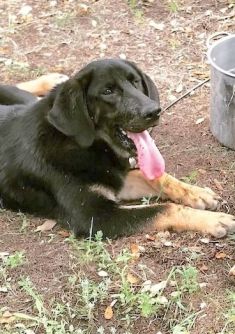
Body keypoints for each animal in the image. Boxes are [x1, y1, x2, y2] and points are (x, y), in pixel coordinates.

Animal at [0, 59, 235, 237]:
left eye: (136, 81)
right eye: (107, 91)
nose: (154, 111)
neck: (85, 146)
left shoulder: (116, 178)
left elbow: (157, 177)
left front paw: (196, 193)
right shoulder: (96, 216)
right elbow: (163, 208)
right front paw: (213, 220)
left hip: (24, 99)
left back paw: (51, 79)